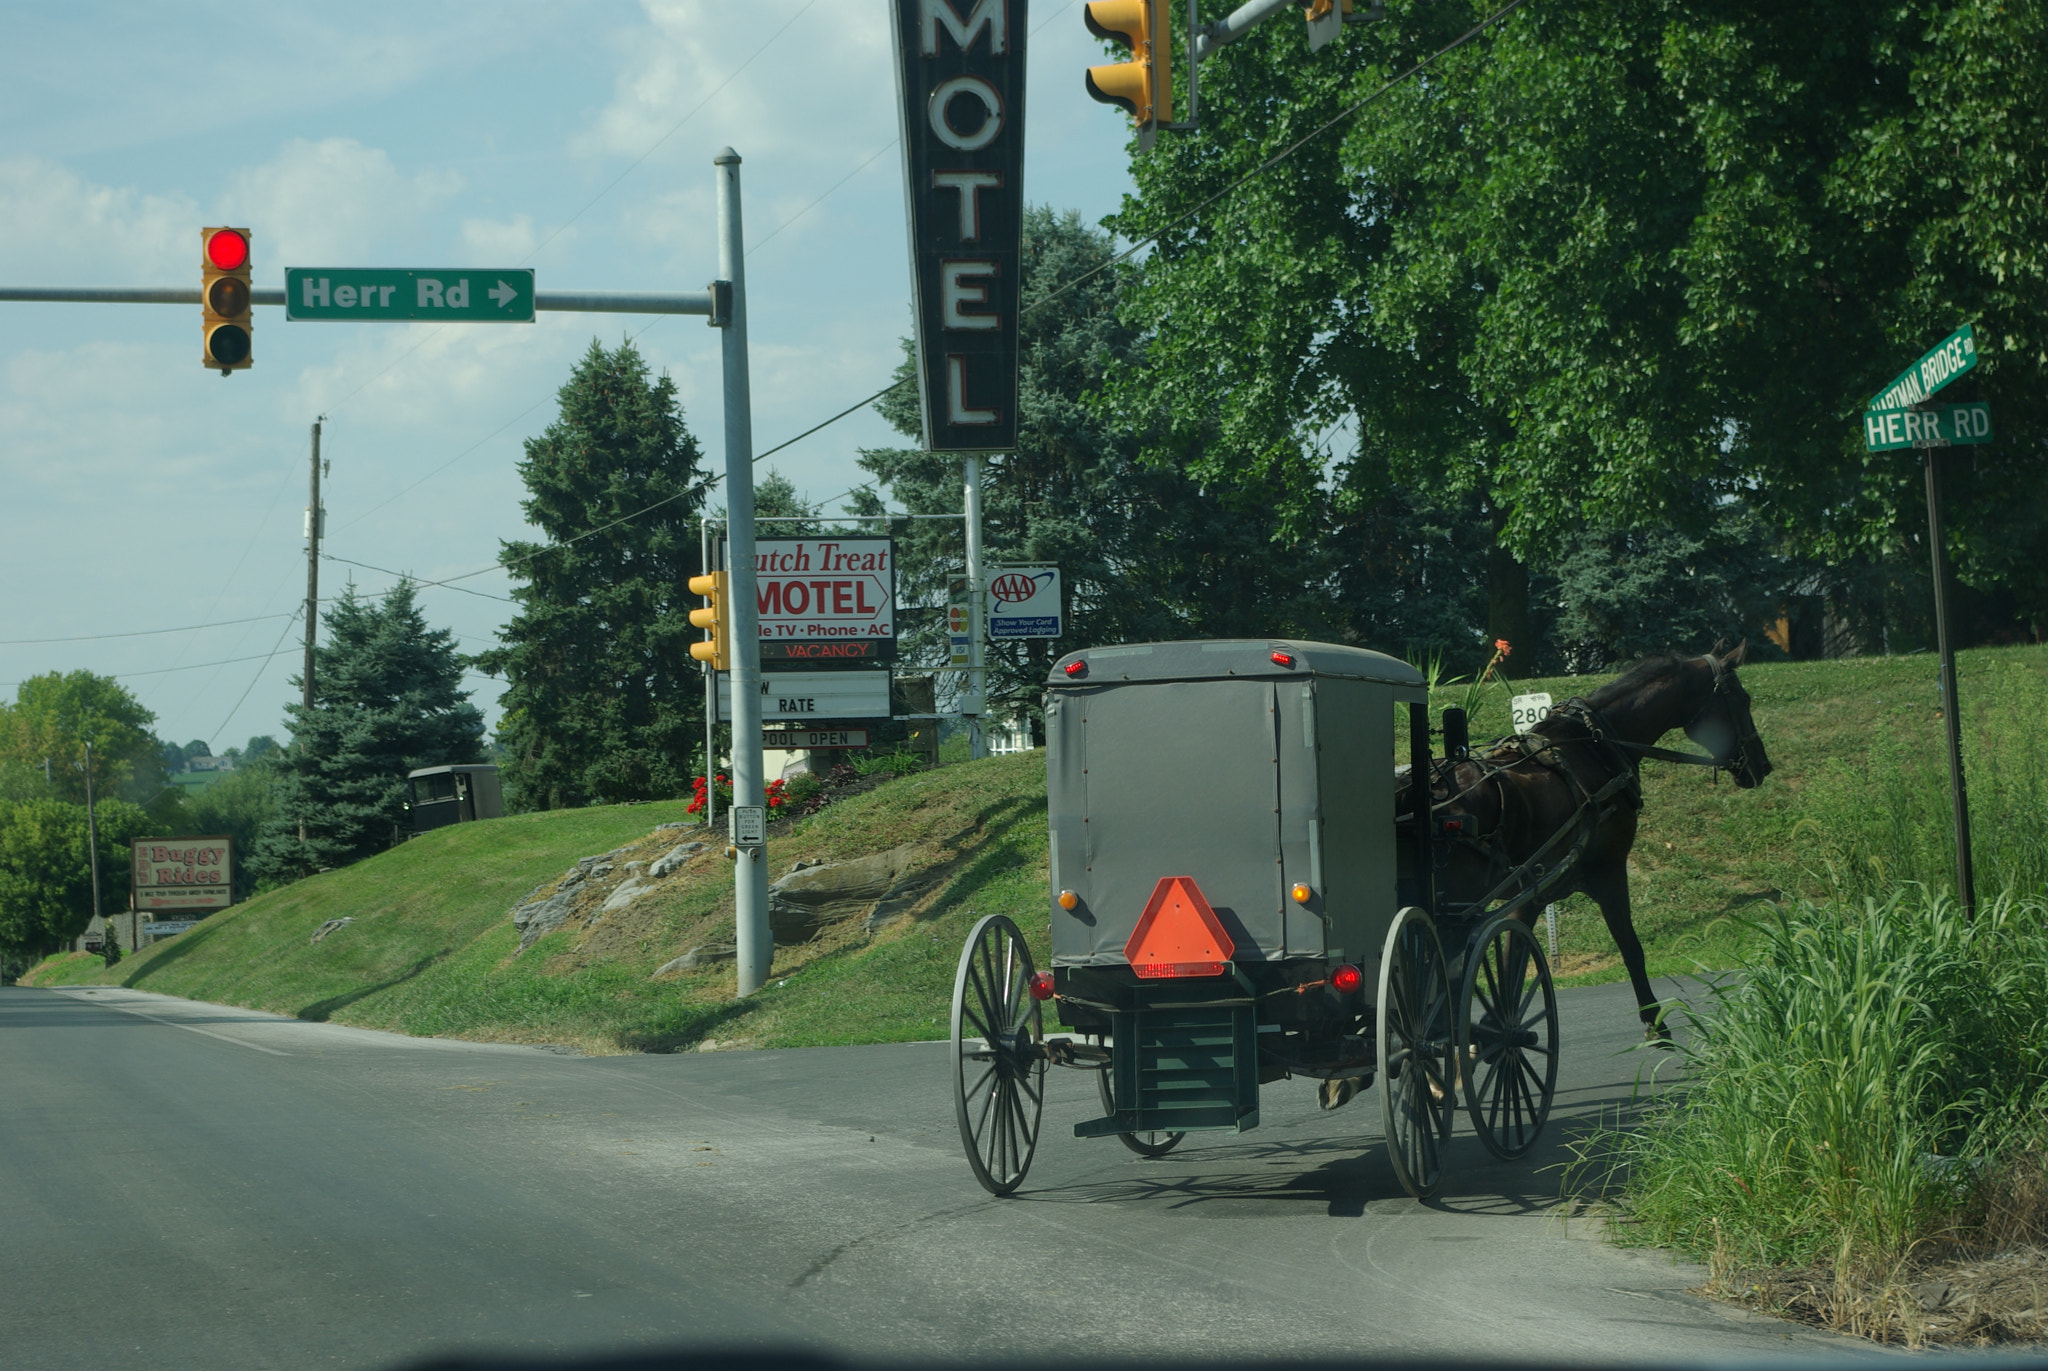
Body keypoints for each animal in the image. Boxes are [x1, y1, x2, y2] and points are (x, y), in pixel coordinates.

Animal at [1417, 643, 1769, 1036]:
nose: (1762, 765)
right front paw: (1655, 1024)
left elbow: (1510, 969)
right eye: (1742, 698)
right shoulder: (1608, 871)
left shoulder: (1533, 895)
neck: (1596, 746)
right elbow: (1631, 947)